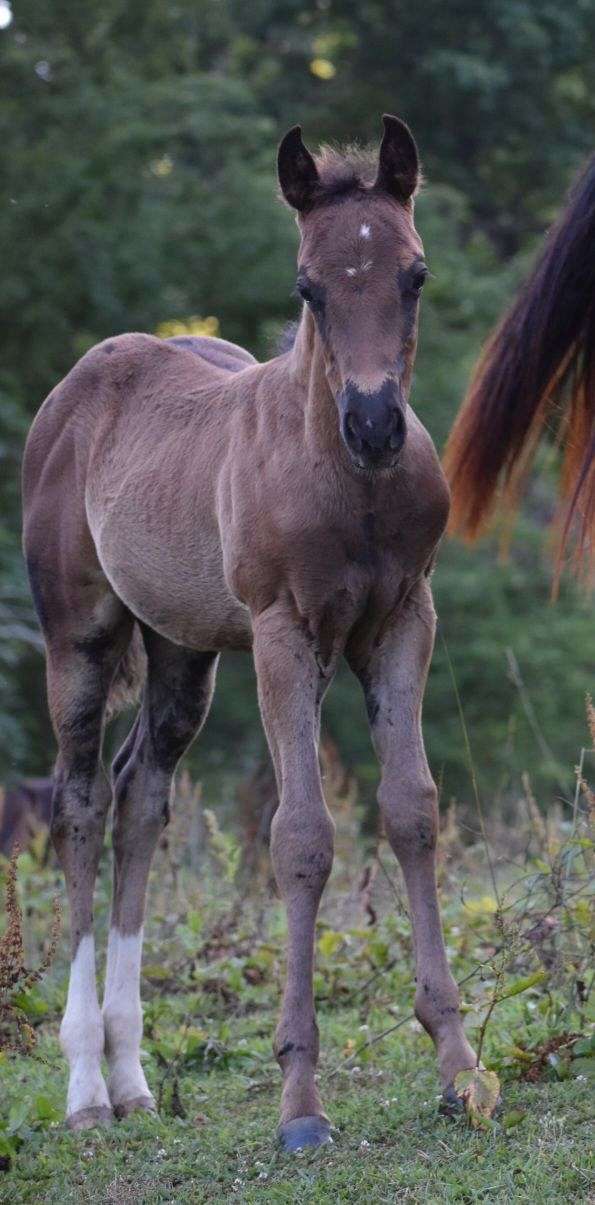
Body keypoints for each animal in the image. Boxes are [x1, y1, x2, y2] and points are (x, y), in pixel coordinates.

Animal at [22, 119, 479, 1147]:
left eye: (416, 274)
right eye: (307, 286)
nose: (374, 425)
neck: (349, 487)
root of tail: (78, 382)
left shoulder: (404, 620)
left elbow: (411, 809)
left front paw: (458, 1066)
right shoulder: (283, 634)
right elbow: (301, 834)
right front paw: (300, 1100)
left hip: (182, 648)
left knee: (139, 797)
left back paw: (133, 1075)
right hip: (80, 634)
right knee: (77, 802)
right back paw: (85, 1087)